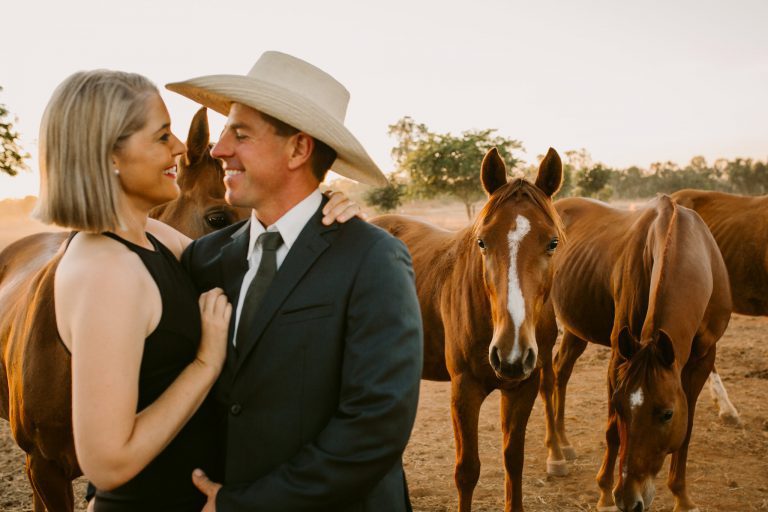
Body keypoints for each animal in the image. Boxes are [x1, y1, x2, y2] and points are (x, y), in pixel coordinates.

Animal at [372, 148, 564, 512]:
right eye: (482, 242)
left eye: (552, 243)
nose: (511, 353)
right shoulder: (464, 389)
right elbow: (467, 470)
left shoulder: (524, 386)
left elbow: (512, 460)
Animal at [536, 196, 728, 512]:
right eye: (620, 405)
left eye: (666, 414)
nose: (629, 499)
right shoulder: (620, 355)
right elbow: (613, 429)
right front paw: (605, 493)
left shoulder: (702, 359)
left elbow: (686, 429)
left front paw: (682, 497)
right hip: (544, 325)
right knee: (548, 380)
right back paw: (555, 454)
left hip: (577, 330)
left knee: (561, 371)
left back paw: (564, 442)